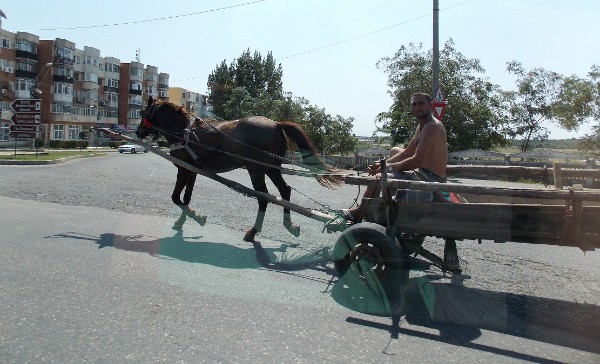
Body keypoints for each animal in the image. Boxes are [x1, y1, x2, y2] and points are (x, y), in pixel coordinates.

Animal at [138, 97, 340, 242]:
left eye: (143, 112)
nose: (138, 132)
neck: (183, 131)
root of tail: (275, 124)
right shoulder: (193, 170)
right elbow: (186, 198)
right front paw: (182, 222)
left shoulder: (184, 169)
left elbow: (176, 198)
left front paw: (197, 217)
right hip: (271, 168)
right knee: (284, 190)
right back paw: (289, 225)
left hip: (256, 169)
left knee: (263, 197)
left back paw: (253, 231)